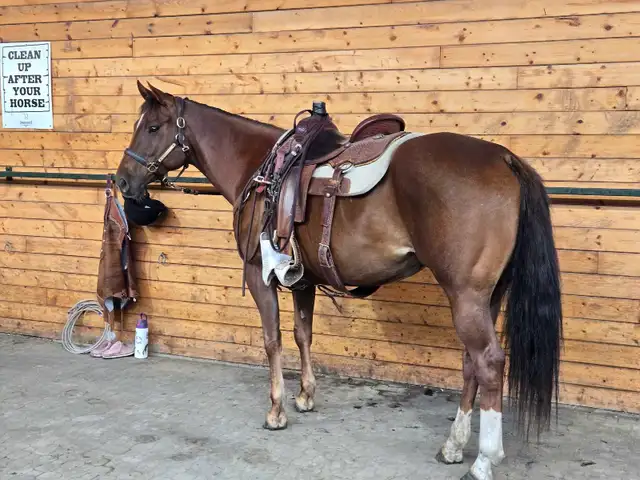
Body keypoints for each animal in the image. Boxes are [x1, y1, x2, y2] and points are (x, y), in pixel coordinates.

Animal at [116, 81, 563, 480]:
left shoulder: (260, 276)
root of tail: (504, 157)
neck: (260, 169)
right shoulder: (303, 280)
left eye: (152, 127)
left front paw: (276, 410)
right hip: (487, 296)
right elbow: (303, 334)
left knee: (488, 361)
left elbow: (273, 339)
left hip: (466, 296)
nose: (122, 180)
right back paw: (453, 445)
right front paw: (305, 396)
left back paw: (484, 460)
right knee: (471, 363)